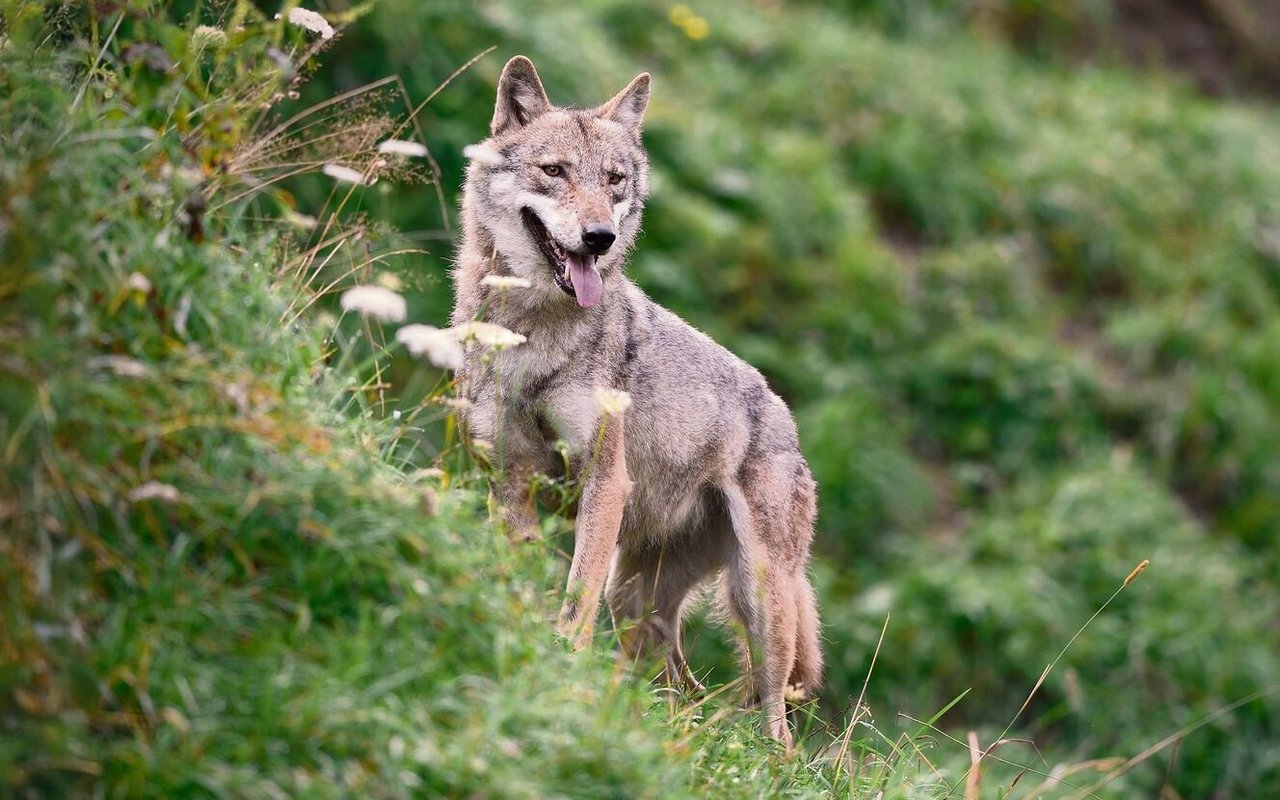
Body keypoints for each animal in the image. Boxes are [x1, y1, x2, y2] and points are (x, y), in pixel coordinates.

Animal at [451, 55, 822, 746]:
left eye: (614, 180)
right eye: (555, 171)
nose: (598, 237)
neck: (530, 335)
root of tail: (784, 413)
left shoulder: (605, 482)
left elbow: (574, 596)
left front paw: (559, 668)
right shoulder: (510, 479)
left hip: (757, 599)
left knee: (776, 719)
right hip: (636, 605)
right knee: (684, 690)